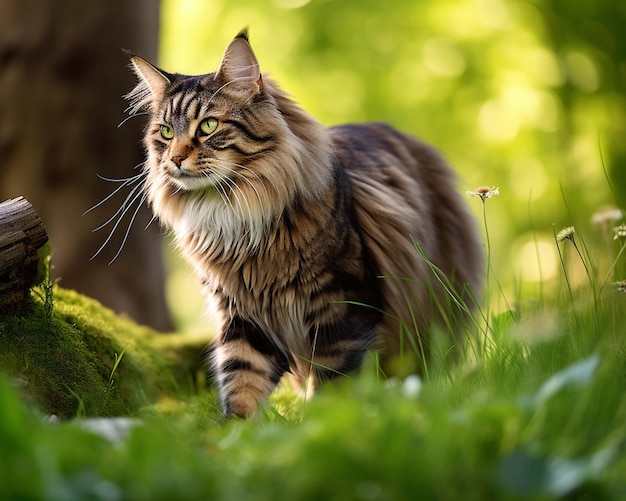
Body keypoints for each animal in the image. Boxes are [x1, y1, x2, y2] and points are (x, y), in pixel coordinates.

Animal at [123, 29, 482, 416]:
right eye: (165, 132)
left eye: (207, 125)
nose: (174, 158)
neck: (233, 217)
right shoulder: (243, 317)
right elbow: (242, 381)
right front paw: (238, 430)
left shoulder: (342, 306)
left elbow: (331, 383)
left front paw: (320, 421)